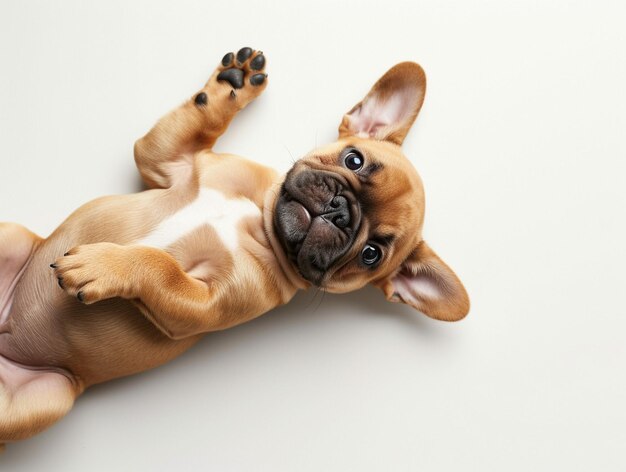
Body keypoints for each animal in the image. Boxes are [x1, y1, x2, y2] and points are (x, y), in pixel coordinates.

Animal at [0, 48, 468, 450]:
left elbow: (160, 264)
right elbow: (185, 130)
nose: (339, 213)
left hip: (50, 398)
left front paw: (103, 265)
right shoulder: (171, 161)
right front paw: (234, 84)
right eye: (354, 159)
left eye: (371, 253)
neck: (258, 218)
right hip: (12, 236)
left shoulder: (204, 304)